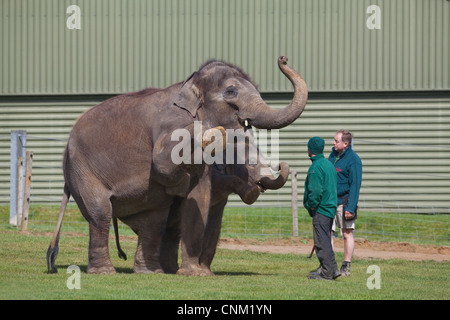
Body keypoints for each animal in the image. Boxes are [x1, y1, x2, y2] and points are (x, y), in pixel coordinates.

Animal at [46, 55, 306, 276]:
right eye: (231, 91)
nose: (283, 58)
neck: (188, 86)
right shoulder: (171, 128)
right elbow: (165, 168)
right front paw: (196, 274)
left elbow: (201, 197)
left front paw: (199, 273)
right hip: (82, 169)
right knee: (100, 213)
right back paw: (106, 272)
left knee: (153, 221)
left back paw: (152, 272)